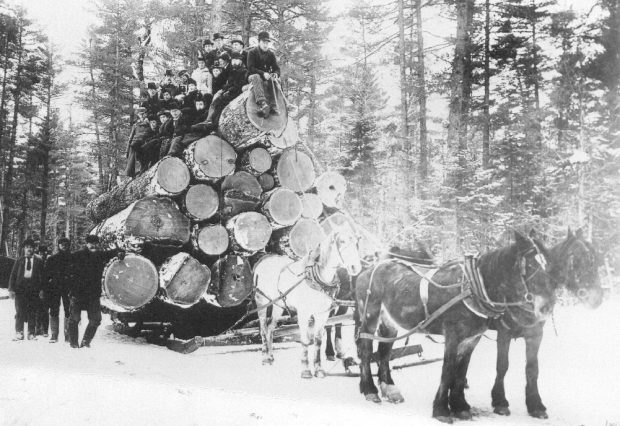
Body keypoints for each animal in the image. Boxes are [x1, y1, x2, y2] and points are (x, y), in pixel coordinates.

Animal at [253, 225, 364, 378]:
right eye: (341, 241)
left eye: (357, 241)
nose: (355, 267)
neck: (318, 277)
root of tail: (263, 261)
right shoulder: (303, 313)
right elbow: (305, 339)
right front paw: (305, 369)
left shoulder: (323, 313)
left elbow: (318, 340)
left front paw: (318, 369)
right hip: (262, 302)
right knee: (263, 329)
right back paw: (265, 357)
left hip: (278, 305)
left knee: (270, 328)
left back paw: (270, 357)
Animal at [356, 233, 556, 422]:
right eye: (531, 266)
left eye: (549, 265)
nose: (548, 306)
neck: (473, 288)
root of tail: (368, 269)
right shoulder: (454, 336)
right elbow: (448, 370)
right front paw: (441, 410)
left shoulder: (472, 339)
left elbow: (460, 372)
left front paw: (460, 406)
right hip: (370, 317)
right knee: (366, 350)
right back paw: (370, 390)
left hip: (389, 323)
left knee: (384, 351)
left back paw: (390, 389)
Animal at [486, 228, 604, 418]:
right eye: (576, 259)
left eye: (595, 258)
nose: (597, 298)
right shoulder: (504, 332)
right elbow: (502, 365)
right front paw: (500, 402)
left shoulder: (535, 334)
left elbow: (532, 369)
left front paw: (535, 404)